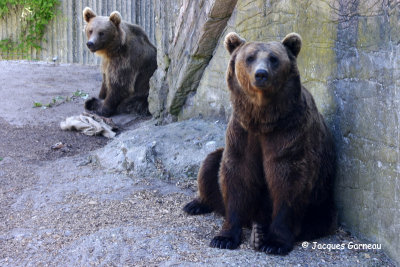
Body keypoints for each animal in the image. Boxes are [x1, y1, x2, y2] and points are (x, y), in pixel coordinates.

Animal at [184, 31, 338, 255]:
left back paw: (260, 233)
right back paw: (196, 204)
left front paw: (275, 243)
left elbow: (288, 179)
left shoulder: (290, 131)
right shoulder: (242, 131)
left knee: (319, 219)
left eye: (274, 58)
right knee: (210, 163)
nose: (261, 74)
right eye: (250, 58)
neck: (262, 119)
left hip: (322, 197)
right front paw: (224, 237)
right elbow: (237, 173)